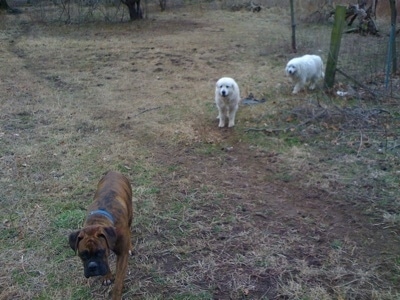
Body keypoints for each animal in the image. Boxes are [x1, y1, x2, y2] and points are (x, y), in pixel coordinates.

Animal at [68, 171, 132, 300]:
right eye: (83, 255)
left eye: (100, 252)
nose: (92, 267)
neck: (99, 219)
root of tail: (113, 171)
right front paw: (107, 276)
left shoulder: (122, 255)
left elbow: (118, 281)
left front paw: (116, 295)